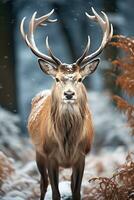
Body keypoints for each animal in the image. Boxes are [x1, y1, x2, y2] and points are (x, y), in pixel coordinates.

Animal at [20, 7, 113, 199]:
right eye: (57, 78)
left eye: (79, 78)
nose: (69, 94)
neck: (67, 144)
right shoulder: (49, 155)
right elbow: (55, 192)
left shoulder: (82, 156)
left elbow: (76, 191)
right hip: (37, 152)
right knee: (43, 184)